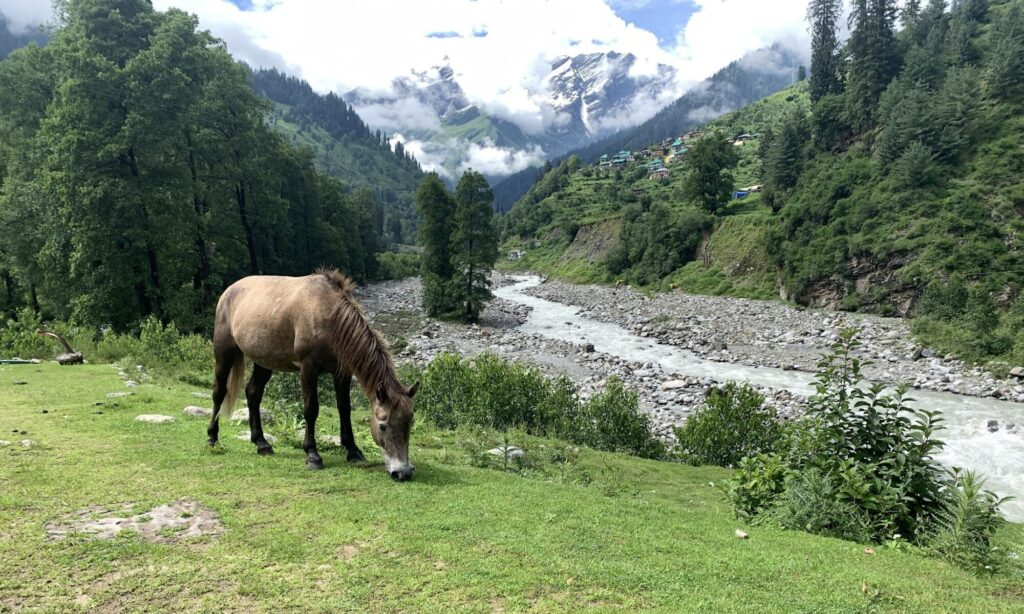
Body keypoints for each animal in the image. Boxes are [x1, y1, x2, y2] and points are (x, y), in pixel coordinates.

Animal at [205, 268, 417, 478]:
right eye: (382, 425)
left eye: (410, 423)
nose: (403, 472)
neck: (329, 314)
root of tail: (229, 291)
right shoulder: (308, 368)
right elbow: (311, 409)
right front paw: (313, 455)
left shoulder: (342, 372)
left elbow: (344, 408)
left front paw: (353, 450)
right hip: (224, 353)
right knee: (219, 393)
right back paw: (212, 439)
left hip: (263, 361)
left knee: (253, 393)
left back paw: (262, 444)